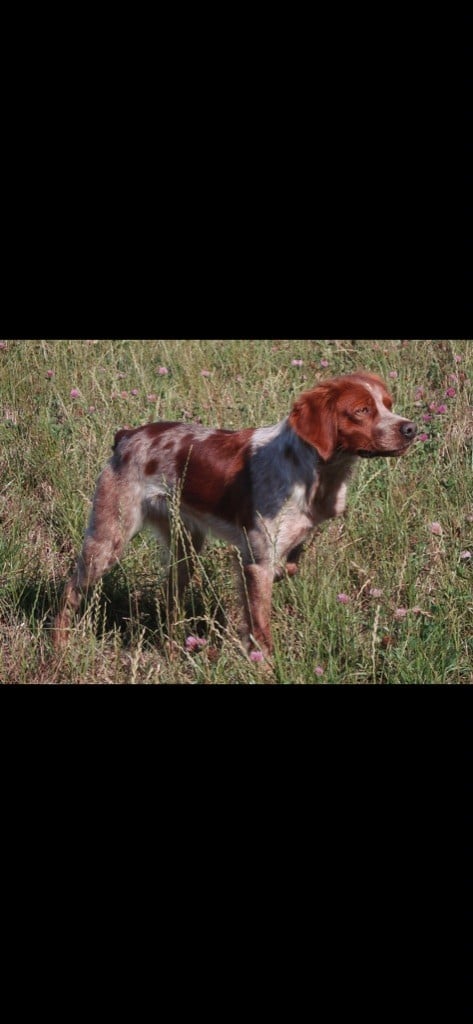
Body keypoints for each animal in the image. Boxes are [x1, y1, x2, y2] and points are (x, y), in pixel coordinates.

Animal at [53, 374, 417, 655]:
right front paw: (265, 666)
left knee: (170, 596)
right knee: (70, 590)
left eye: (388, 404)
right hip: (107, 539)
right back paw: (59, 648)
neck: (313, 471)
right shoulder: (257, 559)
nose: (410, 428)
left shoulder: (283, 546)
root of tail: (127, 436)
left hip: (186, 546)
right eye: (361, 411)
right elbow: (261, 625)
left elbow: (286, 569)